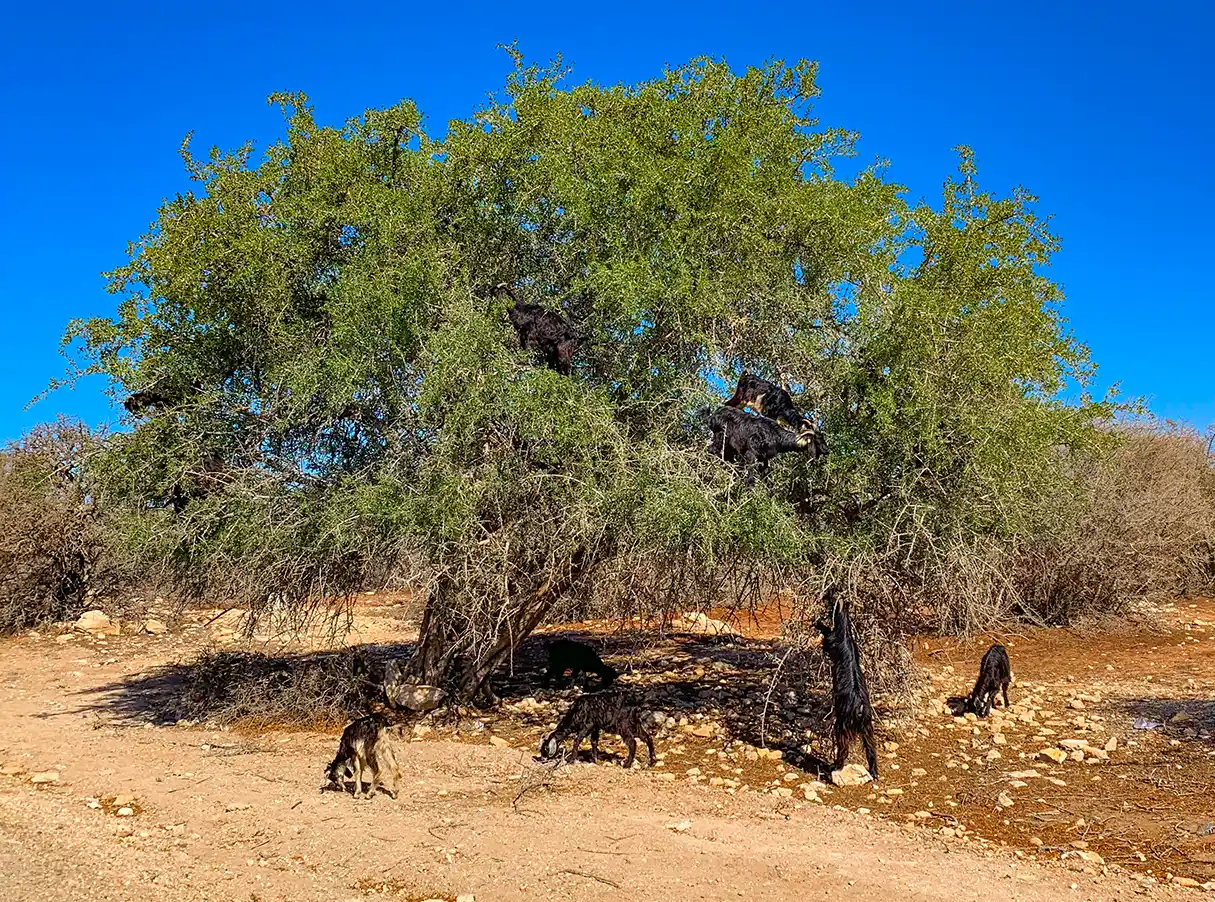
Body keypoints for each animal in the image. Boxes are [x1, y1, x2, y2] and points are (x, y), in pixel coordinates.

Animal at [815, 597, 879, 782]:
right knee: (871, 747)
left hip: (843, 725)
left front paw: (817, 623)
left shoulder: (830, 642)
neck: (845, 634)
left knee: (843, 747)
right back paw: (874, 771)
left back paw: (836, 766)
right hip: (867, 726)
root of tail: (860, 708)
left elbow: (826, 634)